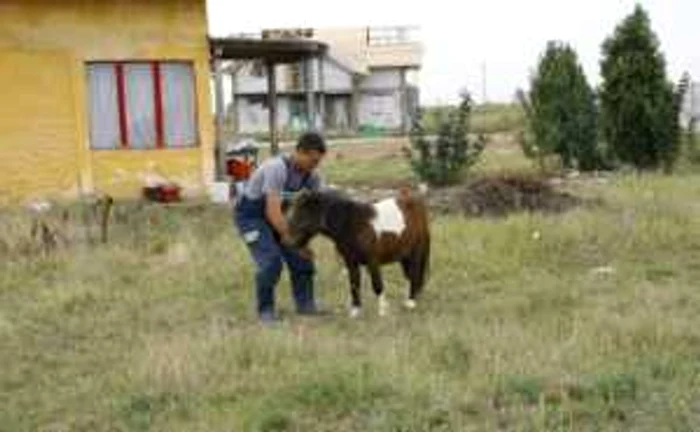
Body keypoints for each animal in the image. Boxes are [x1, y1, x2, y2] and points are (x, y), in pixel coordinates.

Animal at [286, 187, 430, 316]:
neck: (353, 224)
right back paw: (408, 300)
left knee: (414, 274)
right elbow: (354, 283)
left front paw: (382, 311)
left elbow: (377, 285)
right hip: (403, 255)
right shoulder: (351, 261)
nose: (289, 240)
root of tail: (416, 202)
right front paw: (356, 311)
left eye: (303, 213)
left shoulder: (373, 261)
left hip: (415, 251)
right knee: (409, 276)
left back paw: (410, 302)